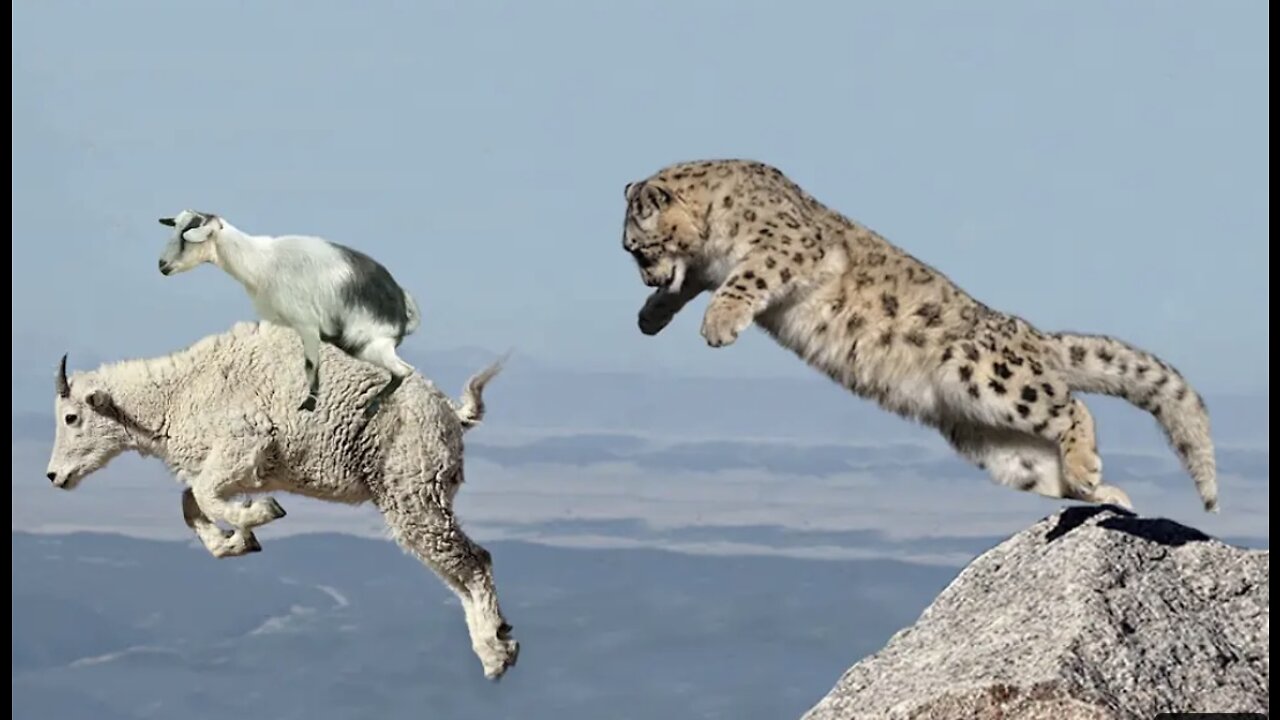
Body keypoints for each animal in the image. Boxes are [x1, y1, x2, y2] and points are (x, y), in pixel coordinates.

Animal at [46, 322, 514, 676]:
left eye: (71, 417)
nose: (54, 476)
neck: (176, 395)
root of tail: (451, 412)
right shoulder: (239, 467)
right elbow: (191, 502)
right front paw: (236, 541)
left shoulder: (244, 442)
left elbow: (203, 496)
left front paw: (261, 515)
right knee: (455, 569)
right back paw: (494, 641)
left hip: (411, 486)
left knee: (474, 561)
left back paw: (496, 652)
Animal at [156, 208, 419, 415]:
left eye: (187, 237)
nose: (162, 265)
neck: (261, 263)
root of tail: (401, 306)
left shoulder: (307, 325)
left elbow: (311, 366)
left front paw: (309, 407)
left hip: (365, 343)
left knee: (403, 370)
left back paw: (371, 409)